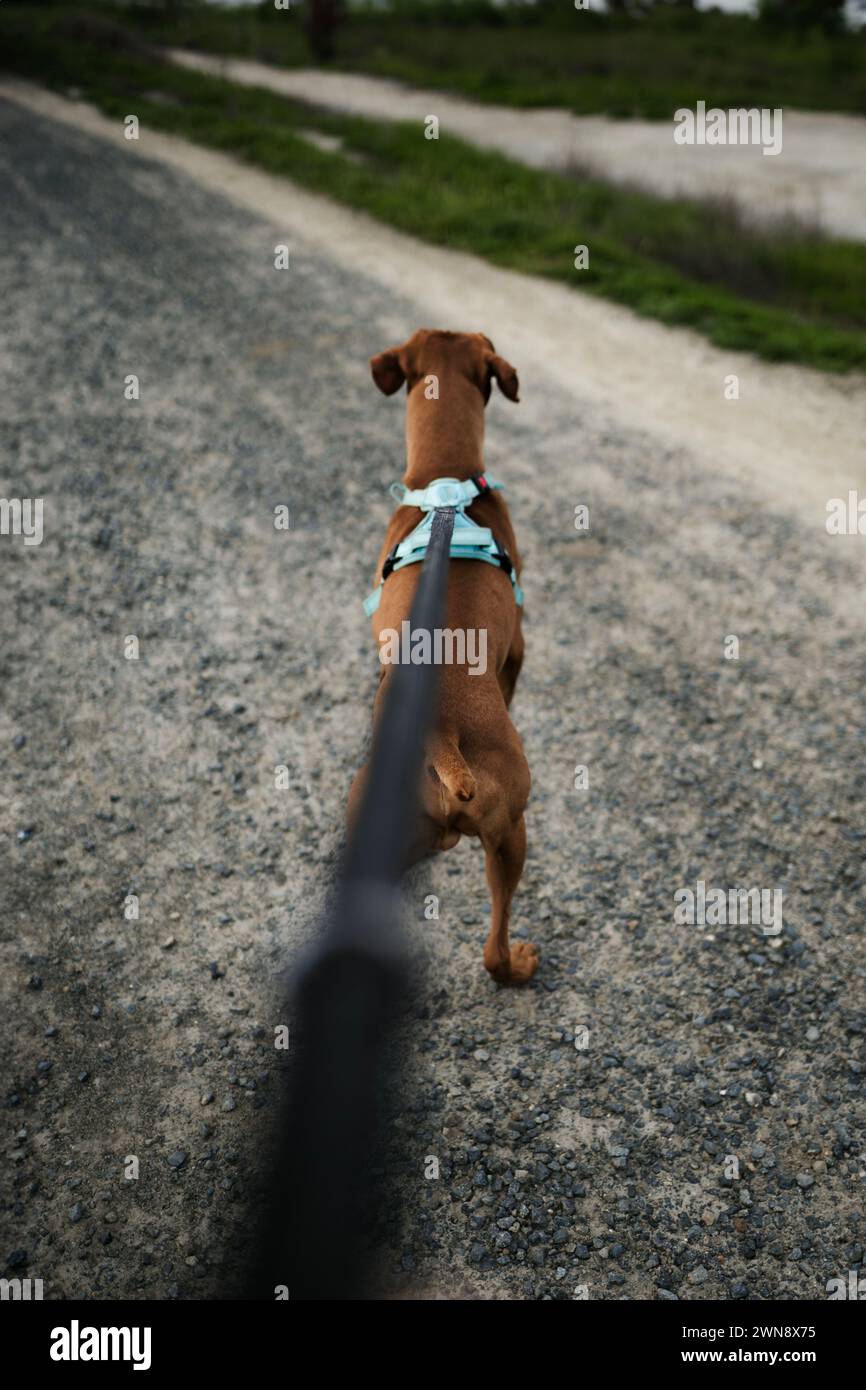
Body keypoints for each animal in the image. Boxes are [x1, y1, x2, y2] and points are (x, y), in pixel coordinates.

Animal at [348, 332, 539, 989]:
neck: (445, 482)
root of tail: (442, 732)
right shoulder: (518, 646)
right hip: (511, 834)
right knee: (494, 948)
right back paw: (519, 964)